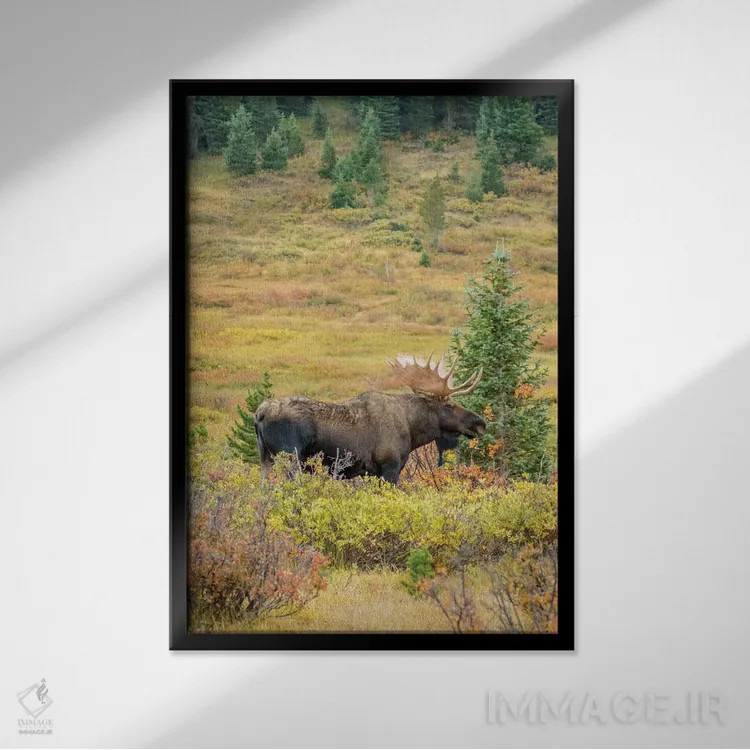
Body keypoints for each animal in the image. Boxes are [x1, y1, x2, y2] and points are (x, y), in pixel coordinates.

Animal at [254, 354, 485, 484]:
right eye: (448, 406)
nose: (480, 423)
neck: (412, 430)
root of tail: (259, 414)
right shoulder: (389, 465)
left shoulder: (371, 472)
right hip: (290, 459)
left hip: (265, 459)